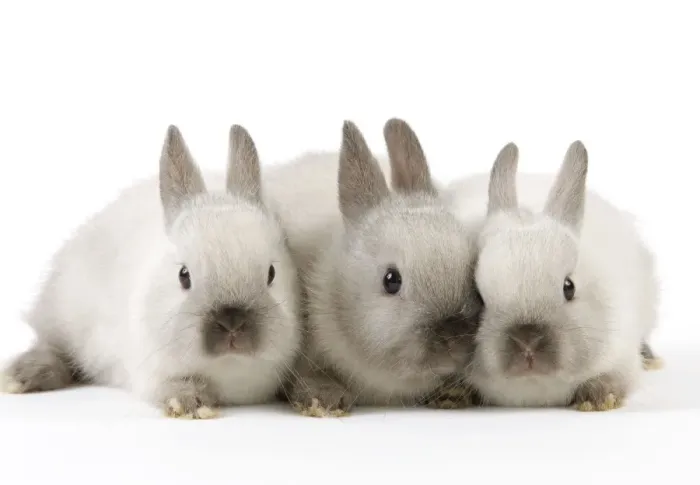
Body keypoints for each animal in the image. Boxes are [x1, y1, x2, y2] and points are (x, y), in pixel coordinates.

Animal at [1, 124, 302, 419]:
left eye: (271, 274)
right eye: (183, 275)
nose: (232, 323)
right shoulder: (148, 372)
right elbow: (171, 386)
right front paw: (190, 403)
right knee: (52, 347)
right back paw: (21, 377)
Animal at [442, 141, 660, 411]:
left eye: (569, 287)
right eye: (479, 298)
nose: (527, 342)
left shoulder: (622, 355)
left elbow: (614, 379)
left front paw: (598, 399)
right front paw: (452, 396)